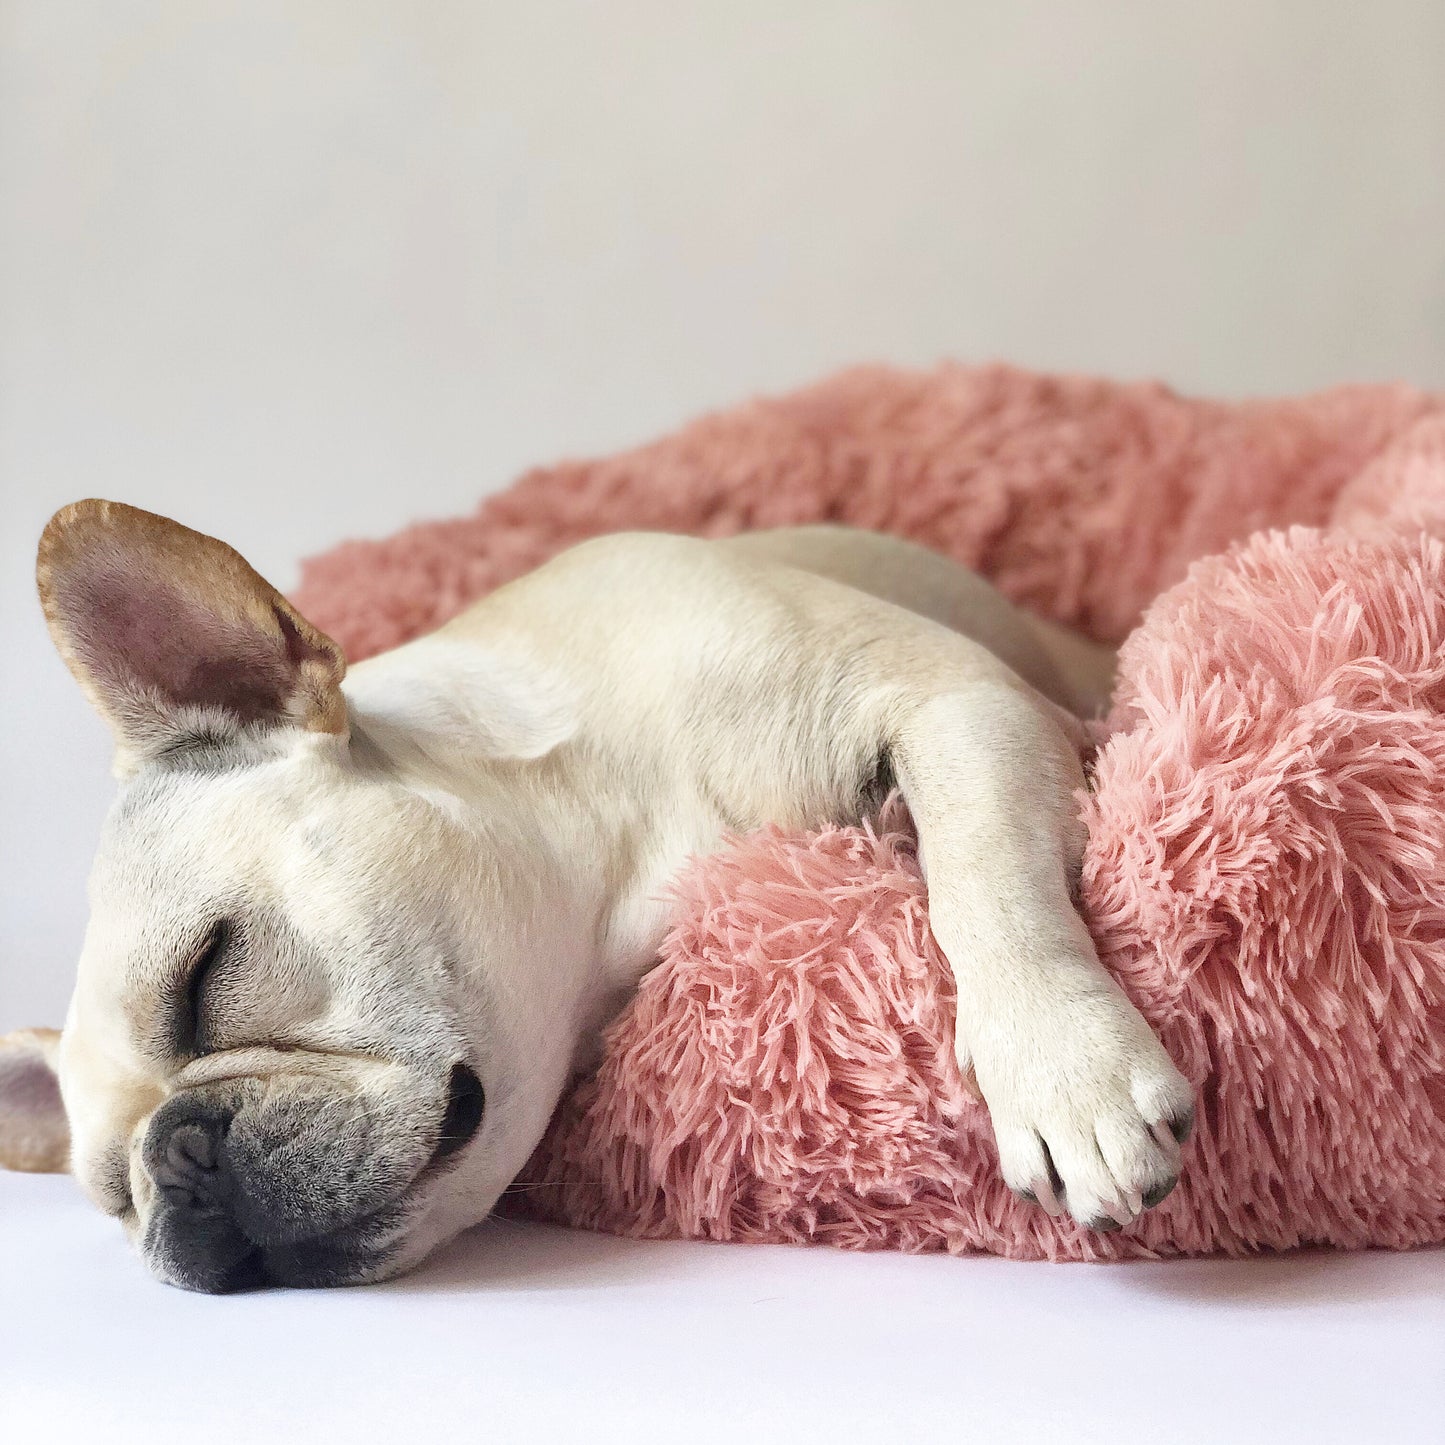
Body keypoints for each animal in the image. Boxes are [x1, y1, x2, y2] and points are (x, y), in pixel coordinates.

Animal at [0, 502, 1190, 1294]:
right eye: (113, 1196)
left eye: (210, 970)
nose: (175, 1160)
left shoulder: (956, 699)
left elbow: (984, 878)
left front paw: (1062, 1067)